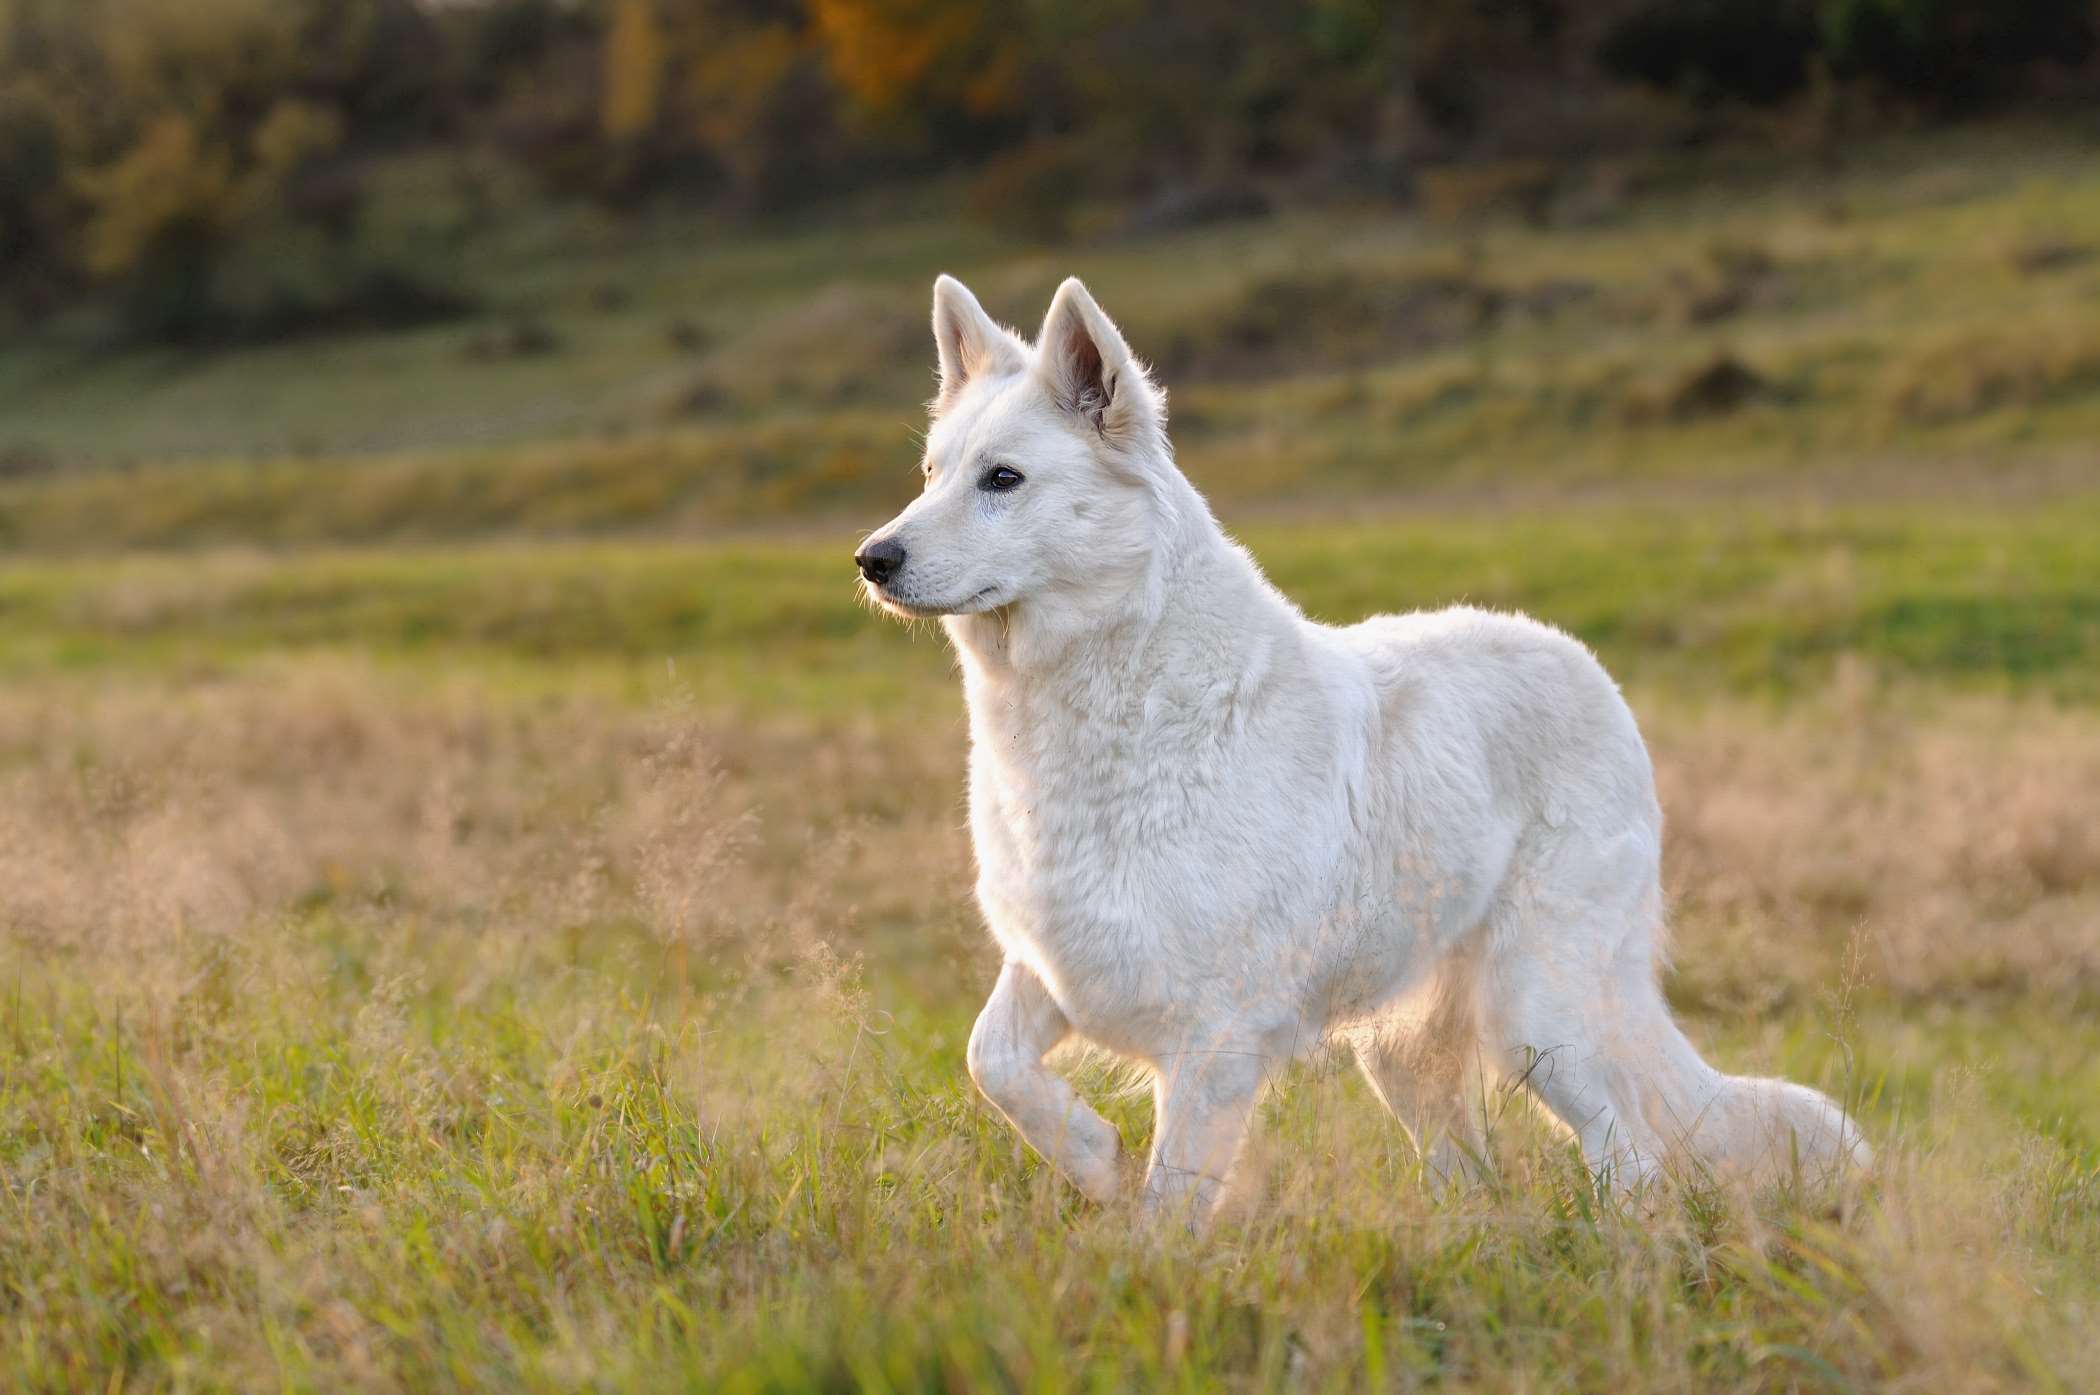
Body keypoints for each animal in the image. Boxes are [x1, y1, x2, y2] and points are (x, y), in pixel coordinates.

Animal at [852, 268, 1873, 1218]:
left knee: (1633, 1157)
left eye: (1003, 479)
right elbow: (991, 1060)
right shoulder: (1053, 964)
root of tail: (1587, 669)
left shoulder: (1215, 1037)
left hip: (1541, 1022)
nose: (871, 559)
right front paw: (1094, 1156)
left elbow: (1171, 1205)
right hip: (1409, 1057)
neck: (1111, 700)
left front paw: (1138, 1258)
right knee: (1476, 1174)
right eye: (931, 475)